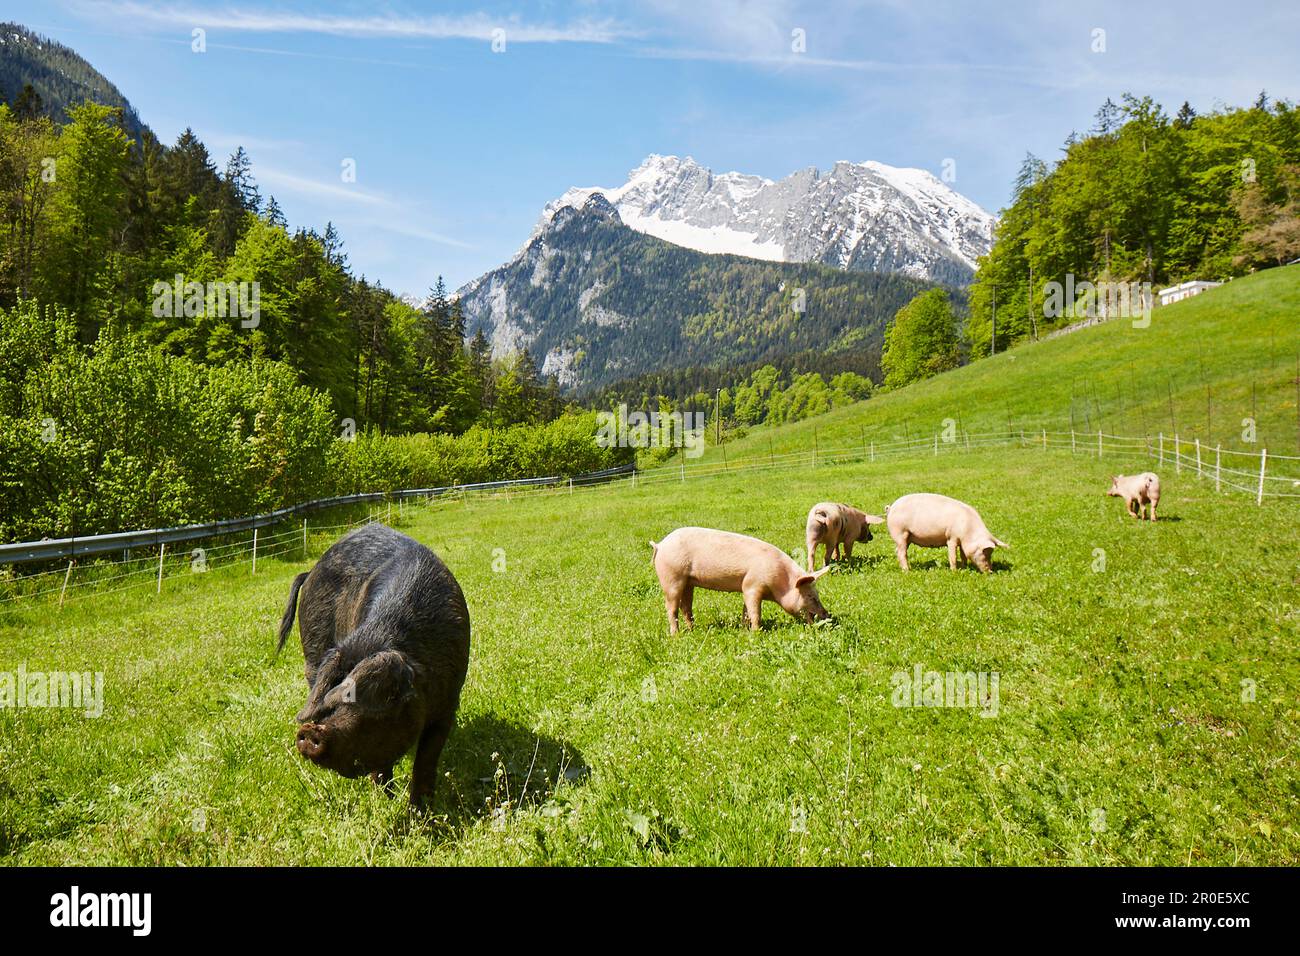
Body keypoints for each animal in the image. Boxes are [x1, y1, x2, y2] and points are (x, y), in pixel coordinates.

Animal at [275, 523, 470, 807]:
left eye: (383, 700)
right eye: (332, 699)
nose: (311, 731)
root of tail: (310, 571)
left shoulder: (449, 702)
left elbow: (426, 760)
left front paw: (419, 810)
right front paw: (384, 800)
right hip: (312, 651)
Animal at [649, 527, 832, 635]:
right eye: (810, 596)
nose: (827, 614)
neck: (780, 583)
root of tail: (660, 545)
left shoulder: (746, 587)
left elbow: (746, 611)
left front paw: (745, 629)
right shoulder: (753, 585)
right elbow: (755, 612)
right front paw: (757, 632)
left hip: (688, 582)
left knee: (686, 607)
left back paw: (692, 630)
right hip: (671, 578)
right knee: (671, 608)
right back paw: (676, 635)